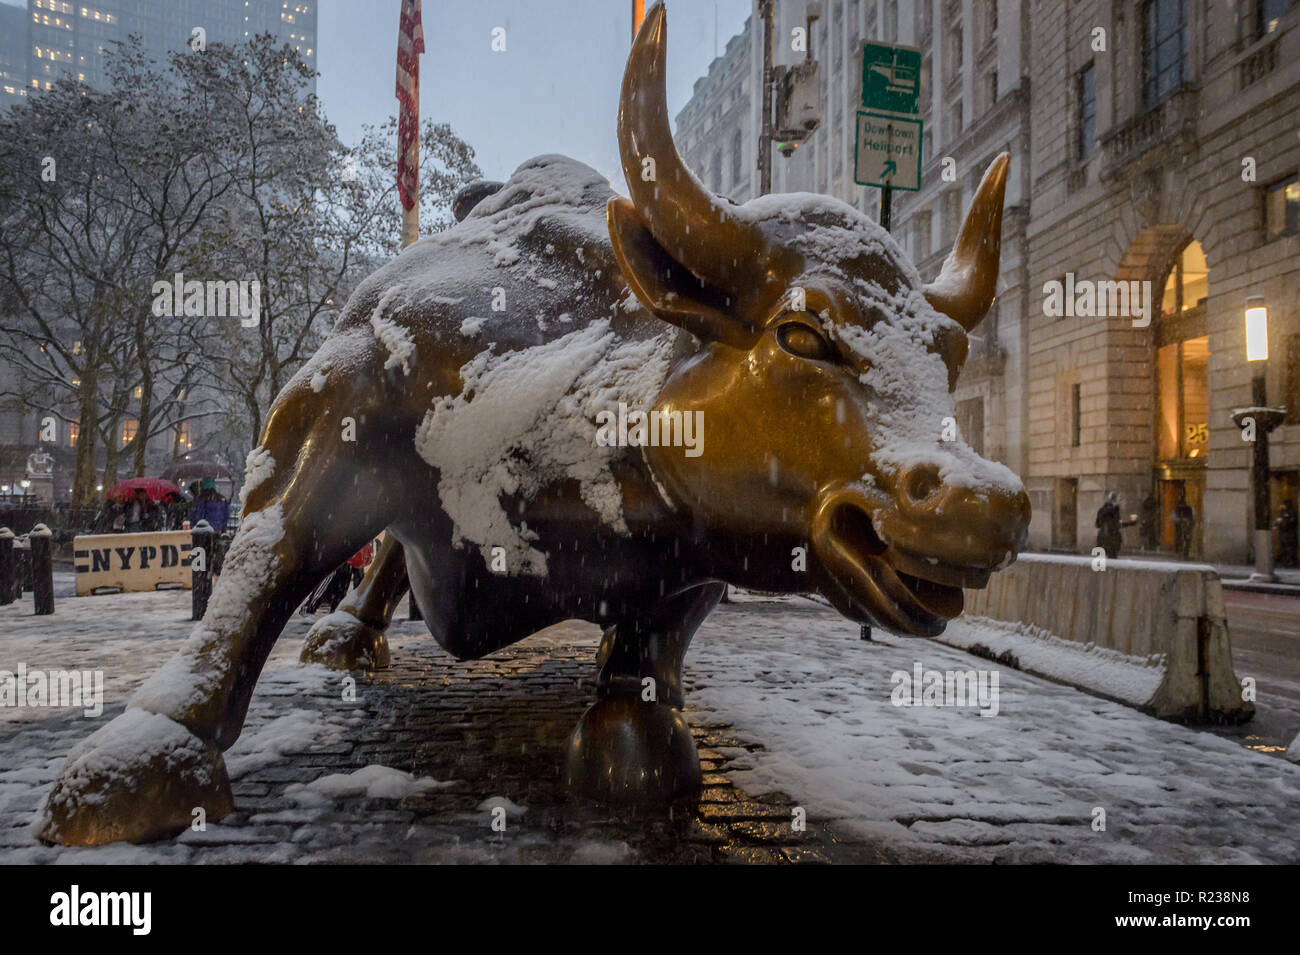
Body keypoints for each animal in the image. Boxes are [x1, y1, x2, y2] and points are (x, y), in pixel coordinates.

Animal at [38, 5, 1024, 841]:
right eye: (802, 332)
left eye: (949, 352)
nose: (984, 501)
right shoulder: (339, 387)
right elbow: (264, 562)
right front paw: (144, 757)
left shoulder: (705, 541)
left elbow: (655, 629)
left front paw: (636, 726)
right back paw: (345, 636)